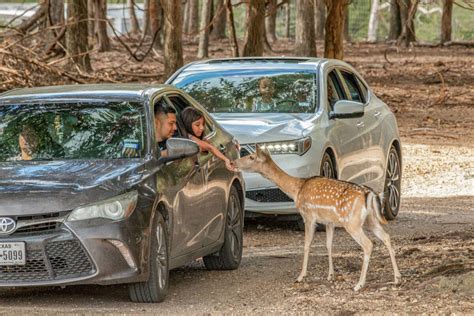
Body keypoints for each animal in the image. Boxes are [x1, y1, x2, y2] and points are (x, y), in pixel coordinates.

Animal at [234, 146, 400, 292]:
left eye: (251, 157)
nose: (234, 162)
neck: (297, 189)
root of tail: (369, 194)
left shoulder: (308, 216)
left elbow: (307, 245)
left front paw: (301, 276)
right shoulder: (329, 221)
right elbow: (328, 244)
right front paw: (330, 275)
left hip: (352, 222)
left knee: (368, 244)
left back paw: (359, 284)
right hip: (370, 220)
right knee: (386, 236)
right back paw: (397, 277)